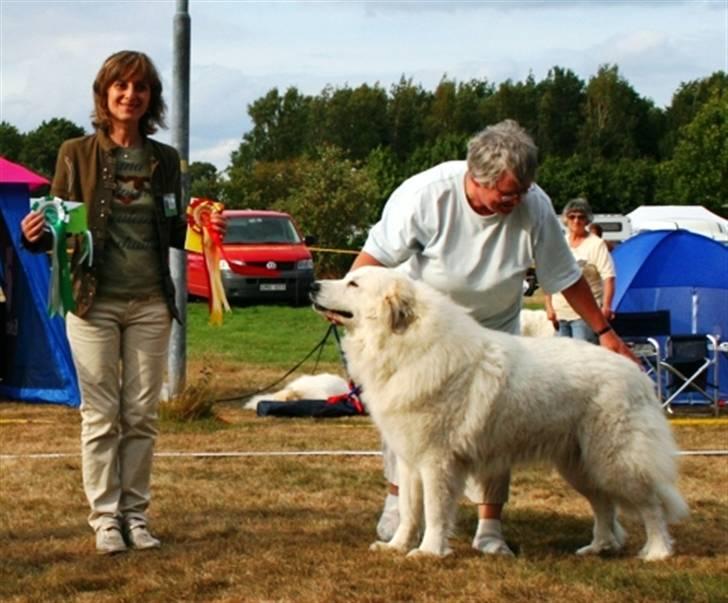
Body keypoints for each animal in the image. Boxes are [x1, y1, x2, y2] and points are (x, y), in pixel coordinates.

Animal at [310, 268, 684, 560]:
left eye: (353, 284)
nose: (313, 285)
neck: (406, 346)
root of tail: (637, 372)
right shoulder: (409, 459)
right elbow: (409, 509)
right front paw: (397, 546)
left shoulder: (436, 460)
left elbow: (434, 510)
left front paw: (428, 551)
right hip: (580, 465)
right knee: (604, 504)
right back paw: (599, 547)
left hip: (616, 460)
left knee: (651, 504)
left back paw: (657, 552)